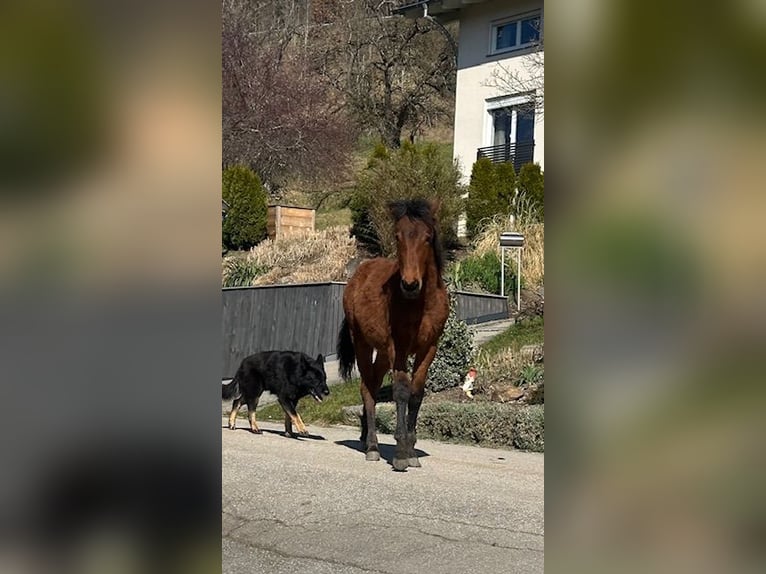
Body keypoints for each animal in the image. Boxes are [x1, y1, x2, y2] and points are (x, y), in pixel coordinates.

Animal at [337, 198, 449, 471]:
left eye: (427, 237)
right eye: (398, 236)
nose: (410, 284)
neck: (421, 303)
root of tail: (357, 274)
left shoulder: (429, 347)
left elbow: (416, 393)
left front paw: (411, 450)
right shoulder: (399, 347)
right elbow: (400, 391)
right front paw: (400, 453)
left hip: (382, 353)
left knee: (374, 385)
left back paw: (366, 436)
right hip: (363, 344)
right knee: (367, 389)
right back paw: (372, 447)